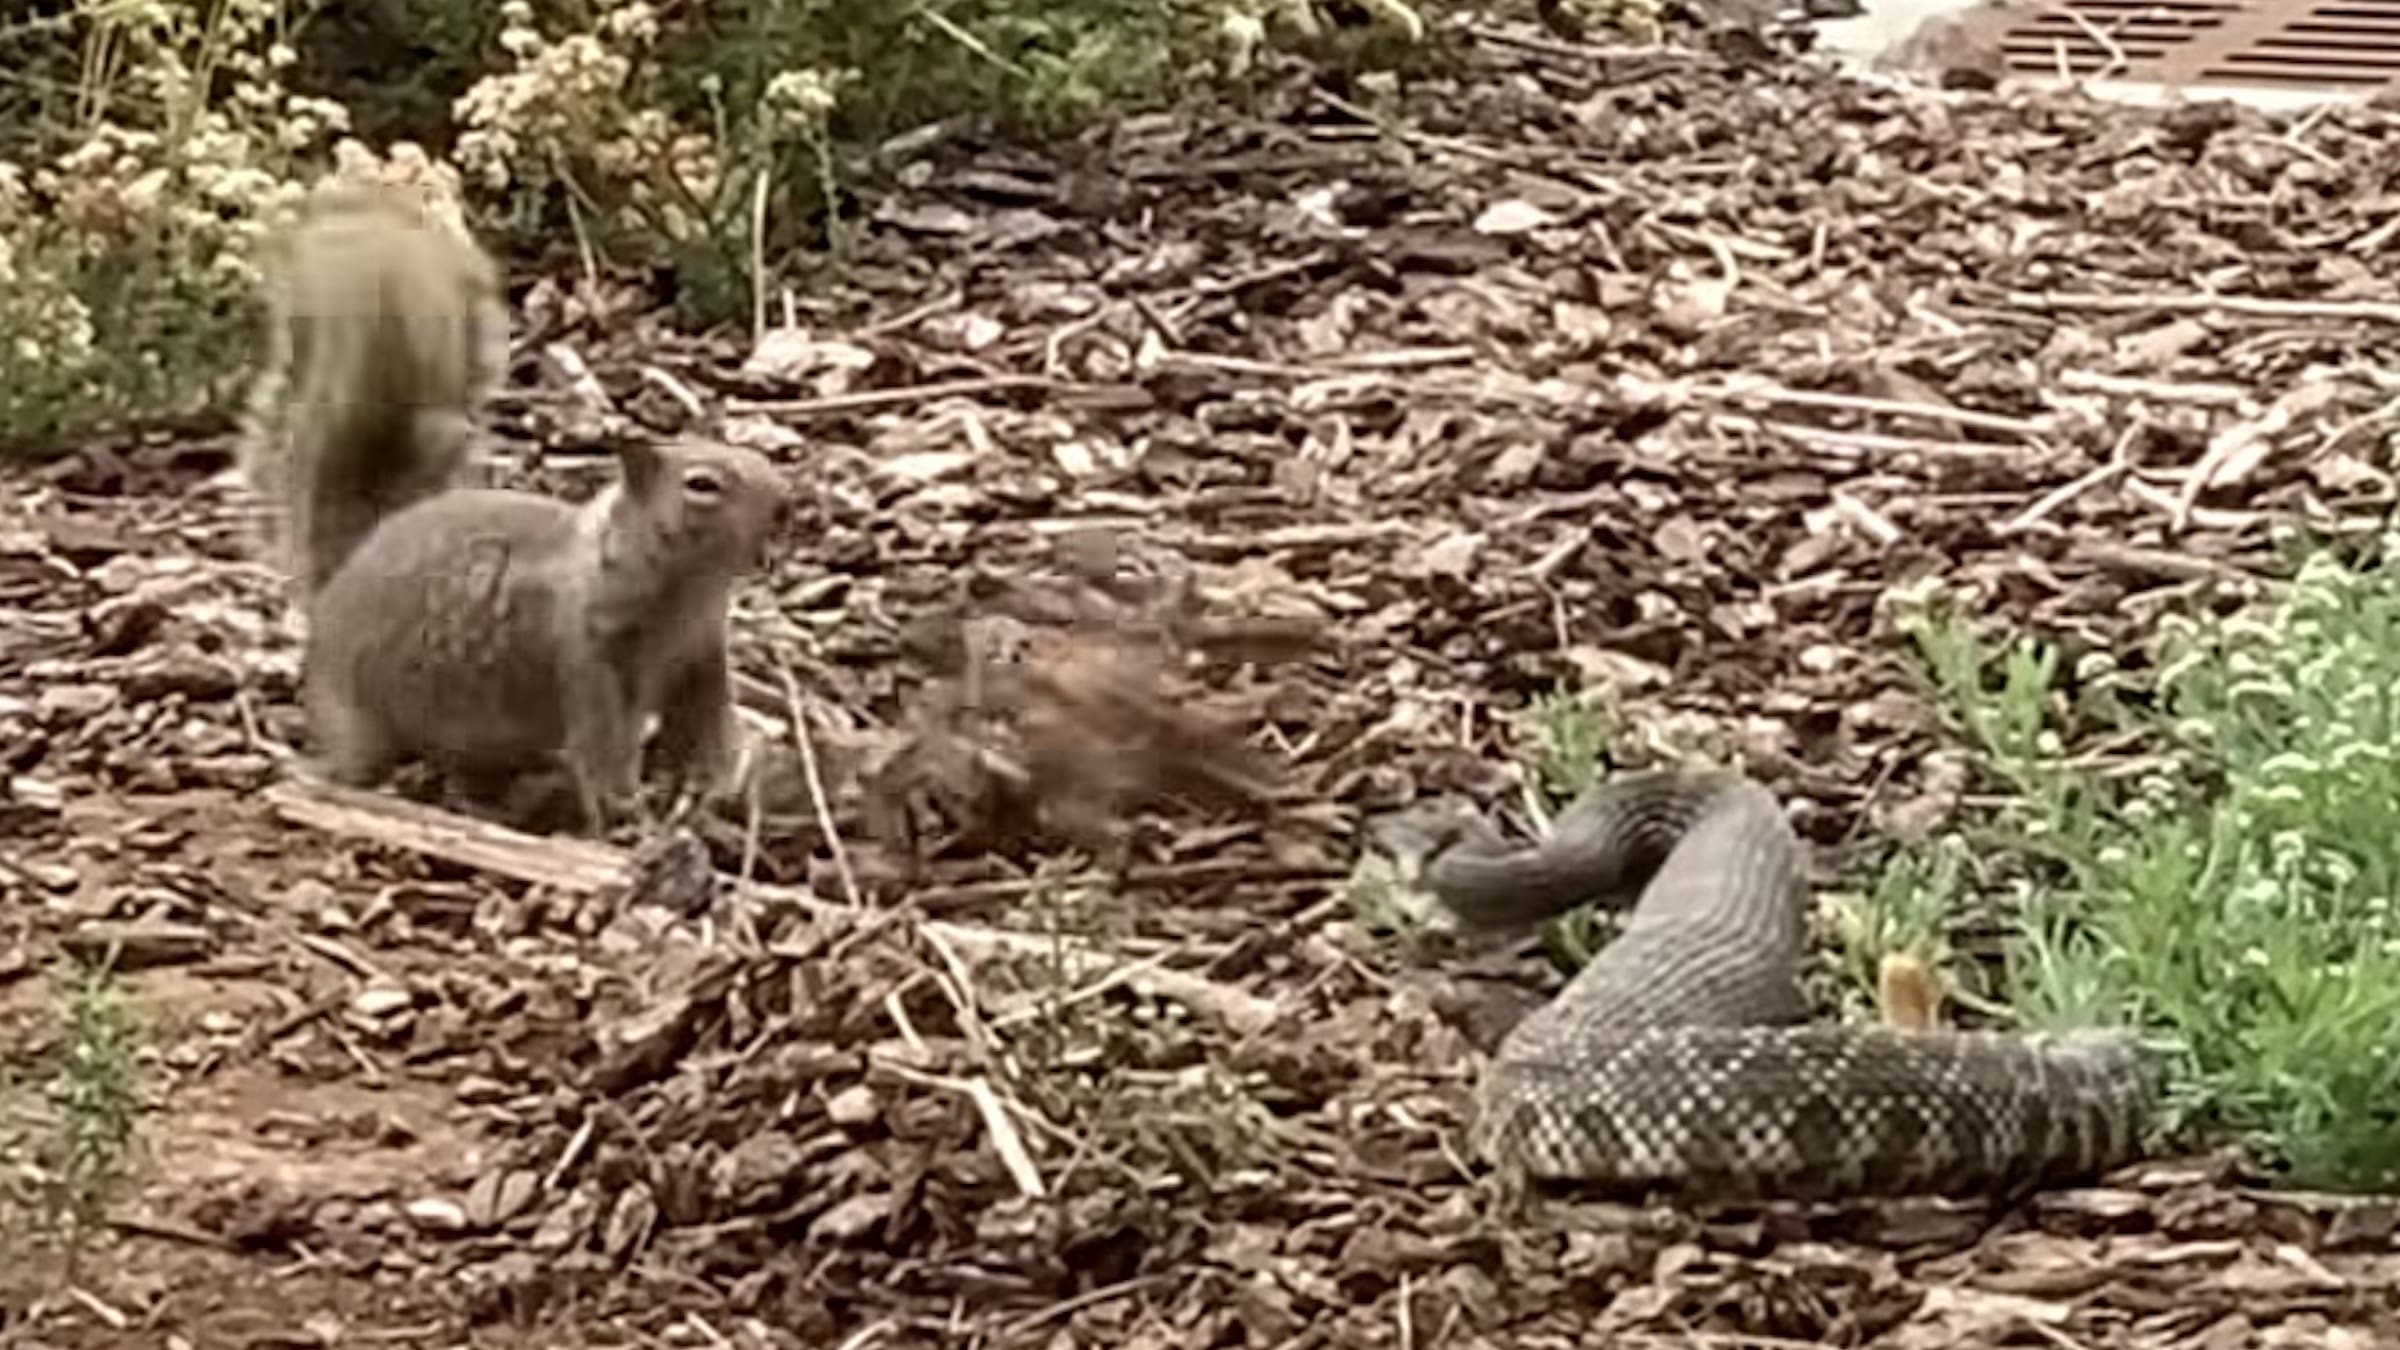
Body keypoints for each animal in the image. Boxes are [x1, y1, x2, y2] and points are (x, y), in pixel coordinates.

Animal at [242, 174, 791, 830]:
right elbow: (602, 744)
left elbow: (705, 729)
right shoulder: (586, 659)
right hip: (358, 710)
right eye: (702, 485)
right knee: (354, 758)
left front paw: (725, 782)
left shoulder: (698, 662)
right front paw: (627, 813)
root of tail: (339, 579)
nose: (787, 503)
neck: (683, 587)